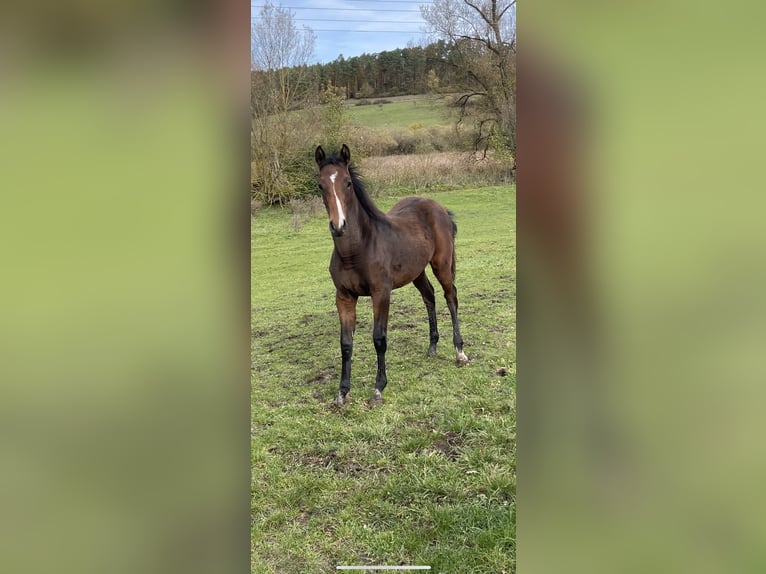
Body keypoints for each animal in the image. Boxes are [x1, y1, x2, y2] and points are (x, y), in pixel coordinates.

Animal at [316, 143, 472, 408]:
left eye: (348, 183)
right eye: (320, 185)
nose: (339, 226)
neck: (356, 250)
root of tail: (438, 207)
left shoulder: (381, 293)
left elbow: (379, 338)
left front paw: (378, 389)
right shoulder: (344, 297)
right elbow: (345, 344)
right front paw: (342, 392)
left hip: (441, 264)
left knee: (450, 297)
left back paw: (459, 352)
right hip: (417, 271)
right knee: (429, 296)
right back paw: (432, 346)